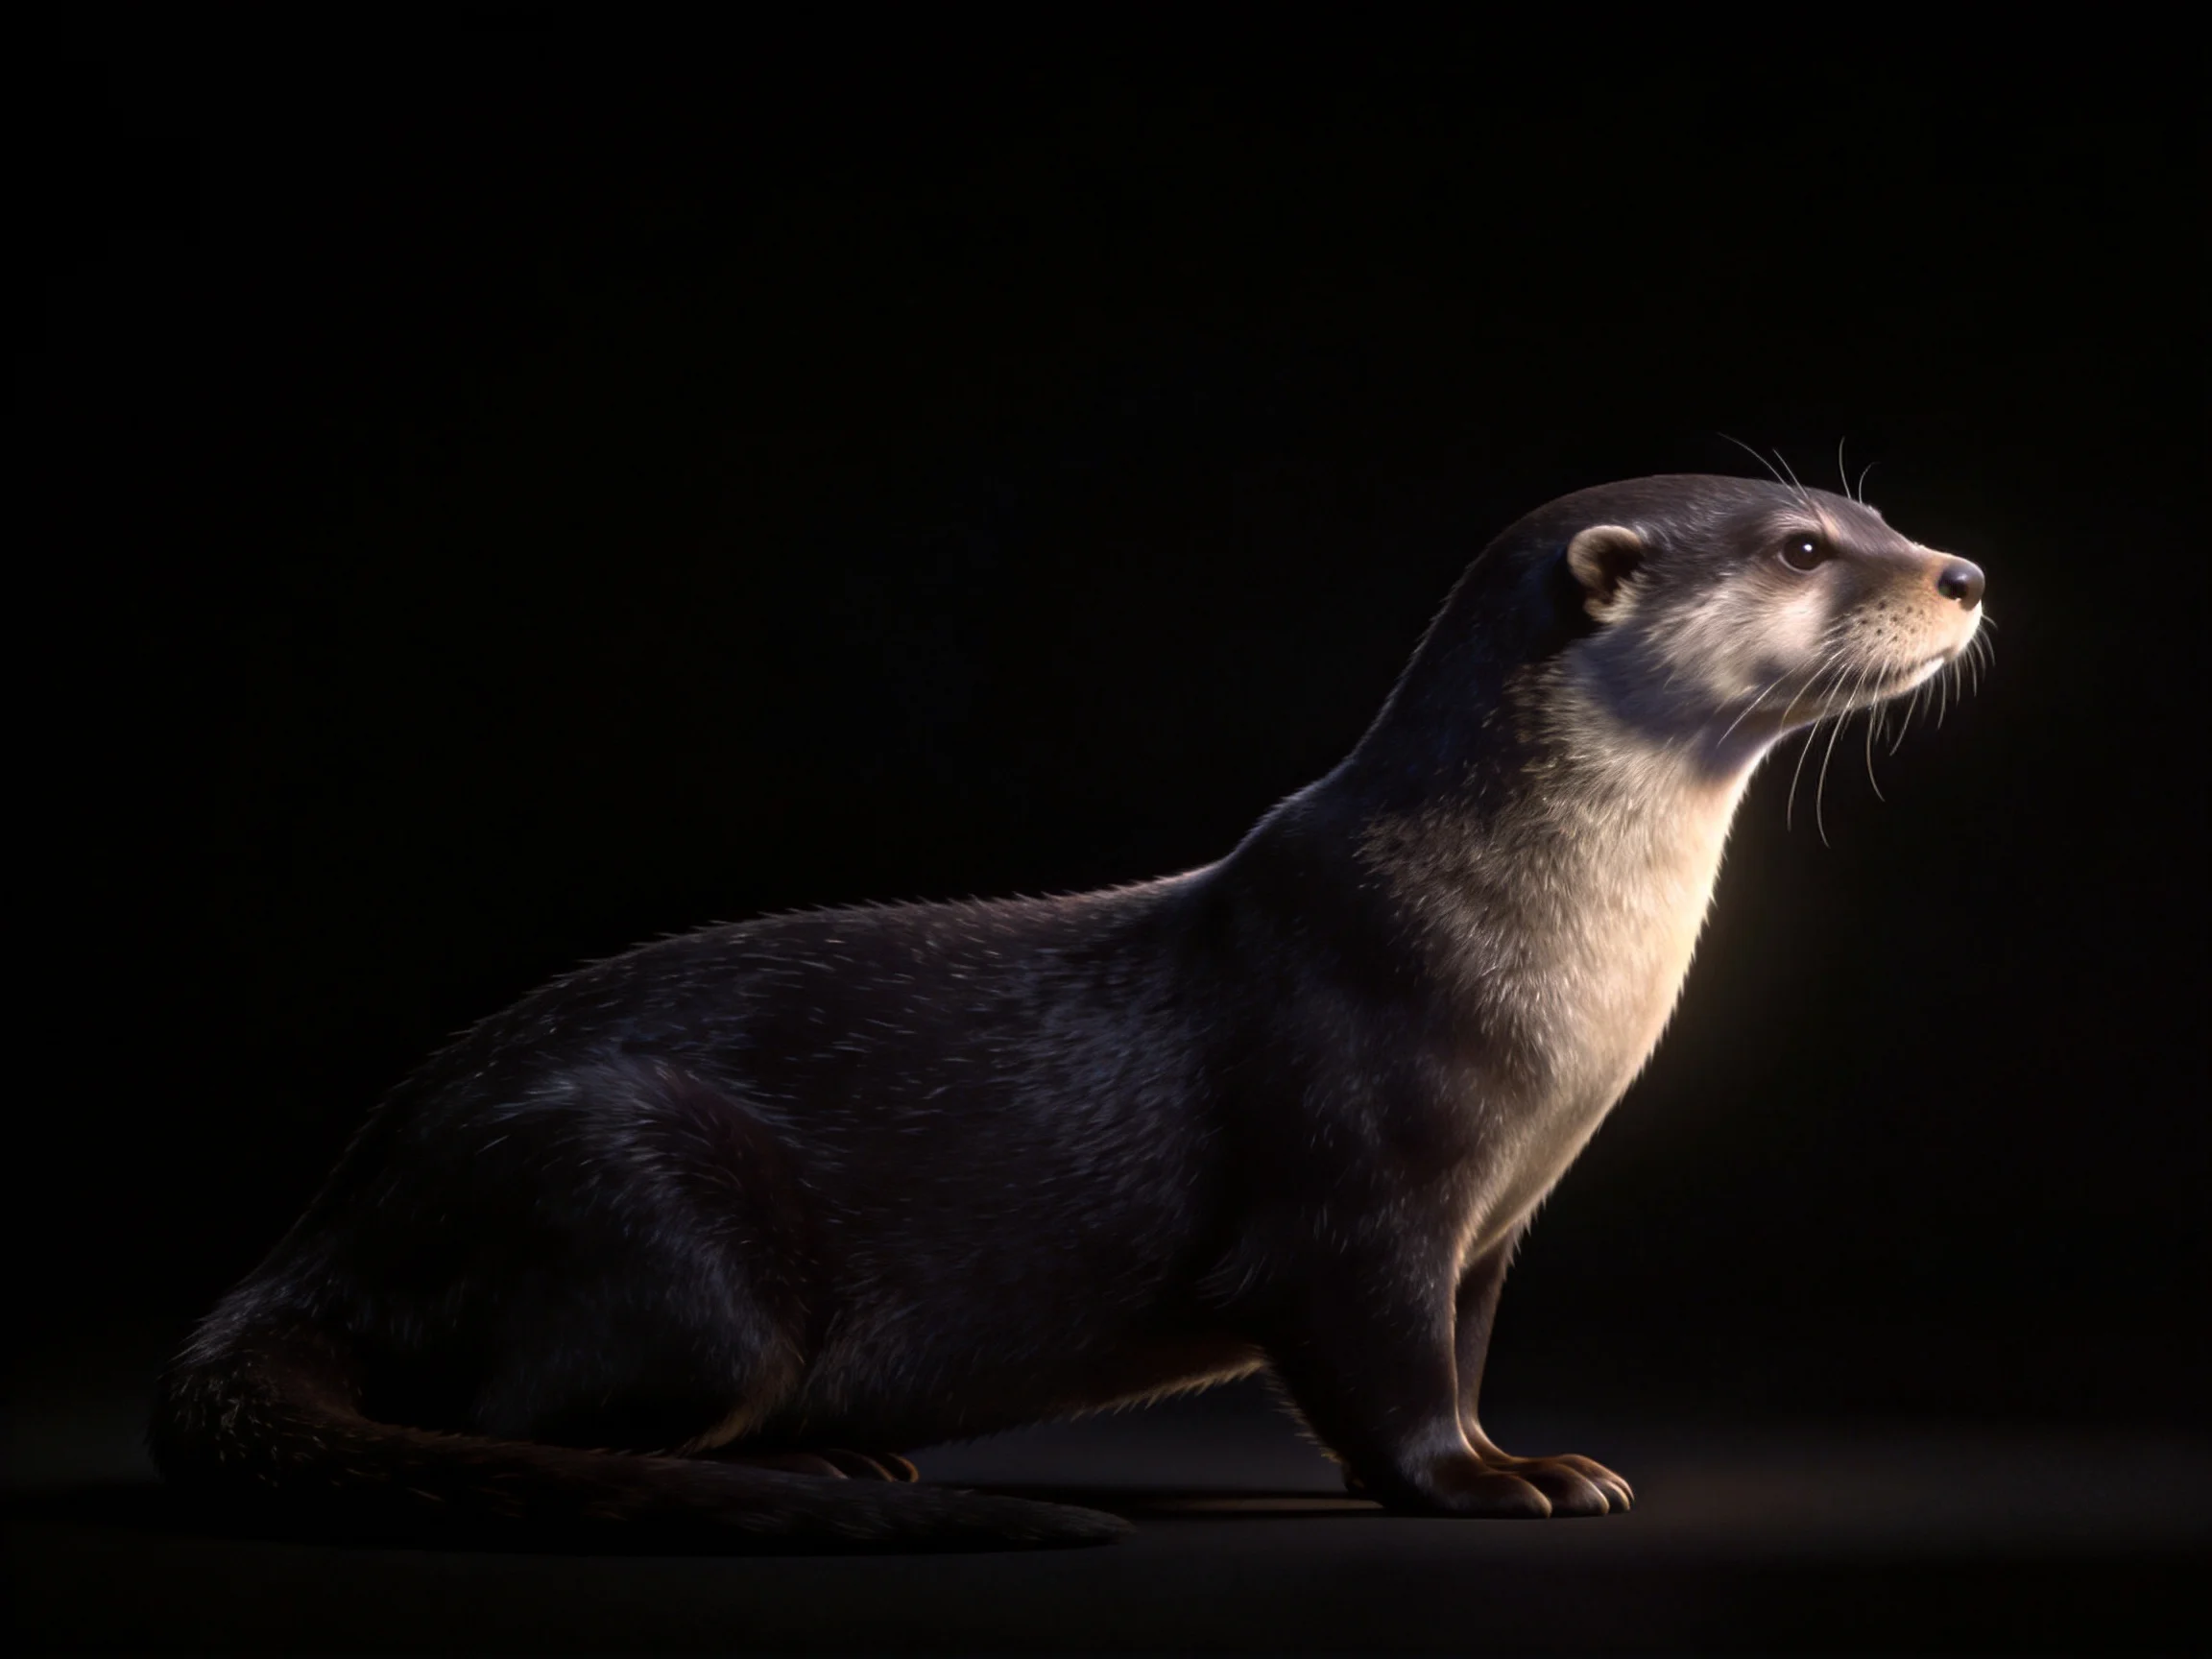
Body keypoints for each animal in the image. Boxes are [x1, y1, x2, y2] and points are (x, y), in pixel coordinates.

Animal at [151, 474, 1987, 1547]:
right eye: (1802, 551)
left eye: (1868, 505)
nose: (1960, 570)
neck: (1520, 964)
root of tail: (337, 1213)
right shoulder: (1355, 1174)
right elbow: (1376, 1362)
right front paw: (1492, 1483)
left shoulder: (1495, 1219)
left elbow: (1453, 1354)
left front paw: (1515, 1447)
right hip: (643, 1188)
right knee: (515, 1417)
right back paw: (810, 1469)